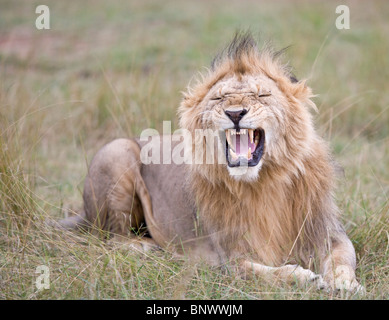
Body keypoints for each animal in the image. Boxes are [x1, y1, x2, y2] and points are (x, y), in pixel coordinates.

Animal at [56, 31, 360, 292]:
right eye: (219, 97)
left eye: (262, 95)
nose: (235, 113)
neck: (264, 181)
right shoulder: (229, 257)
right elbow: (263, 273)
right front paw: (305, 278)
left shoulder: (328, 232)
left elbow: (343, 258)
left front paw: (345, 284)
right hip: (118, 152)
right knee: (112, 238)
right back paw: (148, 248)